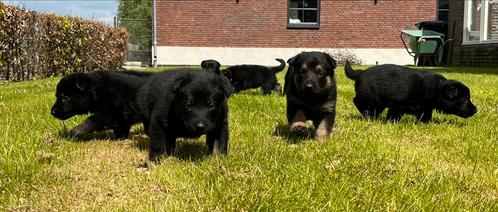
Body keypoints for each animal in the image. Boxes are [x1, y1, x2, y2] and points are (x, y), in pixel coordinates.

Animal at [344, 60, 476, 121]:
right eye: (465, 100)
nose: (476, 110)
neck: (435, 88)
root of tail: (360, 73)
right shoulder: (397, 103)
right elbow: (394, 114)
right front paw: (391, 122)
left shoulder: (425, 107)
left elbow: (425, 115)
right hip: (370, 97)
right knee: (357, 101)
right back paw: (368, 115)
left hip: (378, 102)